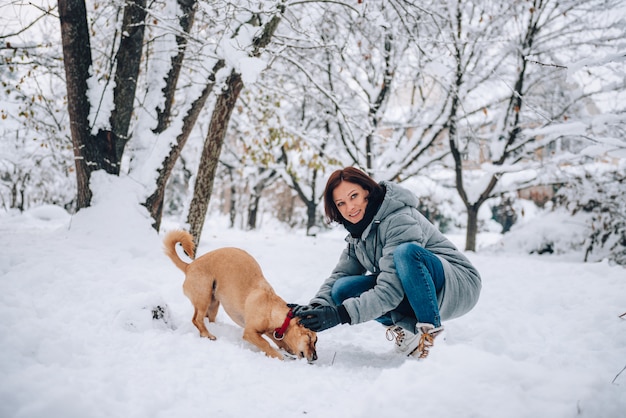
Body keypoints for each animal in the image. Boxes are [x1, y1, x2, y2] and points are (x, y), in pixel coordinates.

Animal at [163, 230, 316, 360]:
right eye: (309, 338)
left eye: (315, 341)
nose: (315, 357)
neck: (272, 308)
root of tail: (189, 266)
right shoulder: (250, 332)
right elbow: (266, 344)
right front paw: (279, 356)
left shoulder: (270, 332)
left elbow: (279, 342)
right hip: (203, 297)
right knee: (196, 319)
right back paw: (208, 334)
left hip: (214, 303)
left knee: (207, 319)